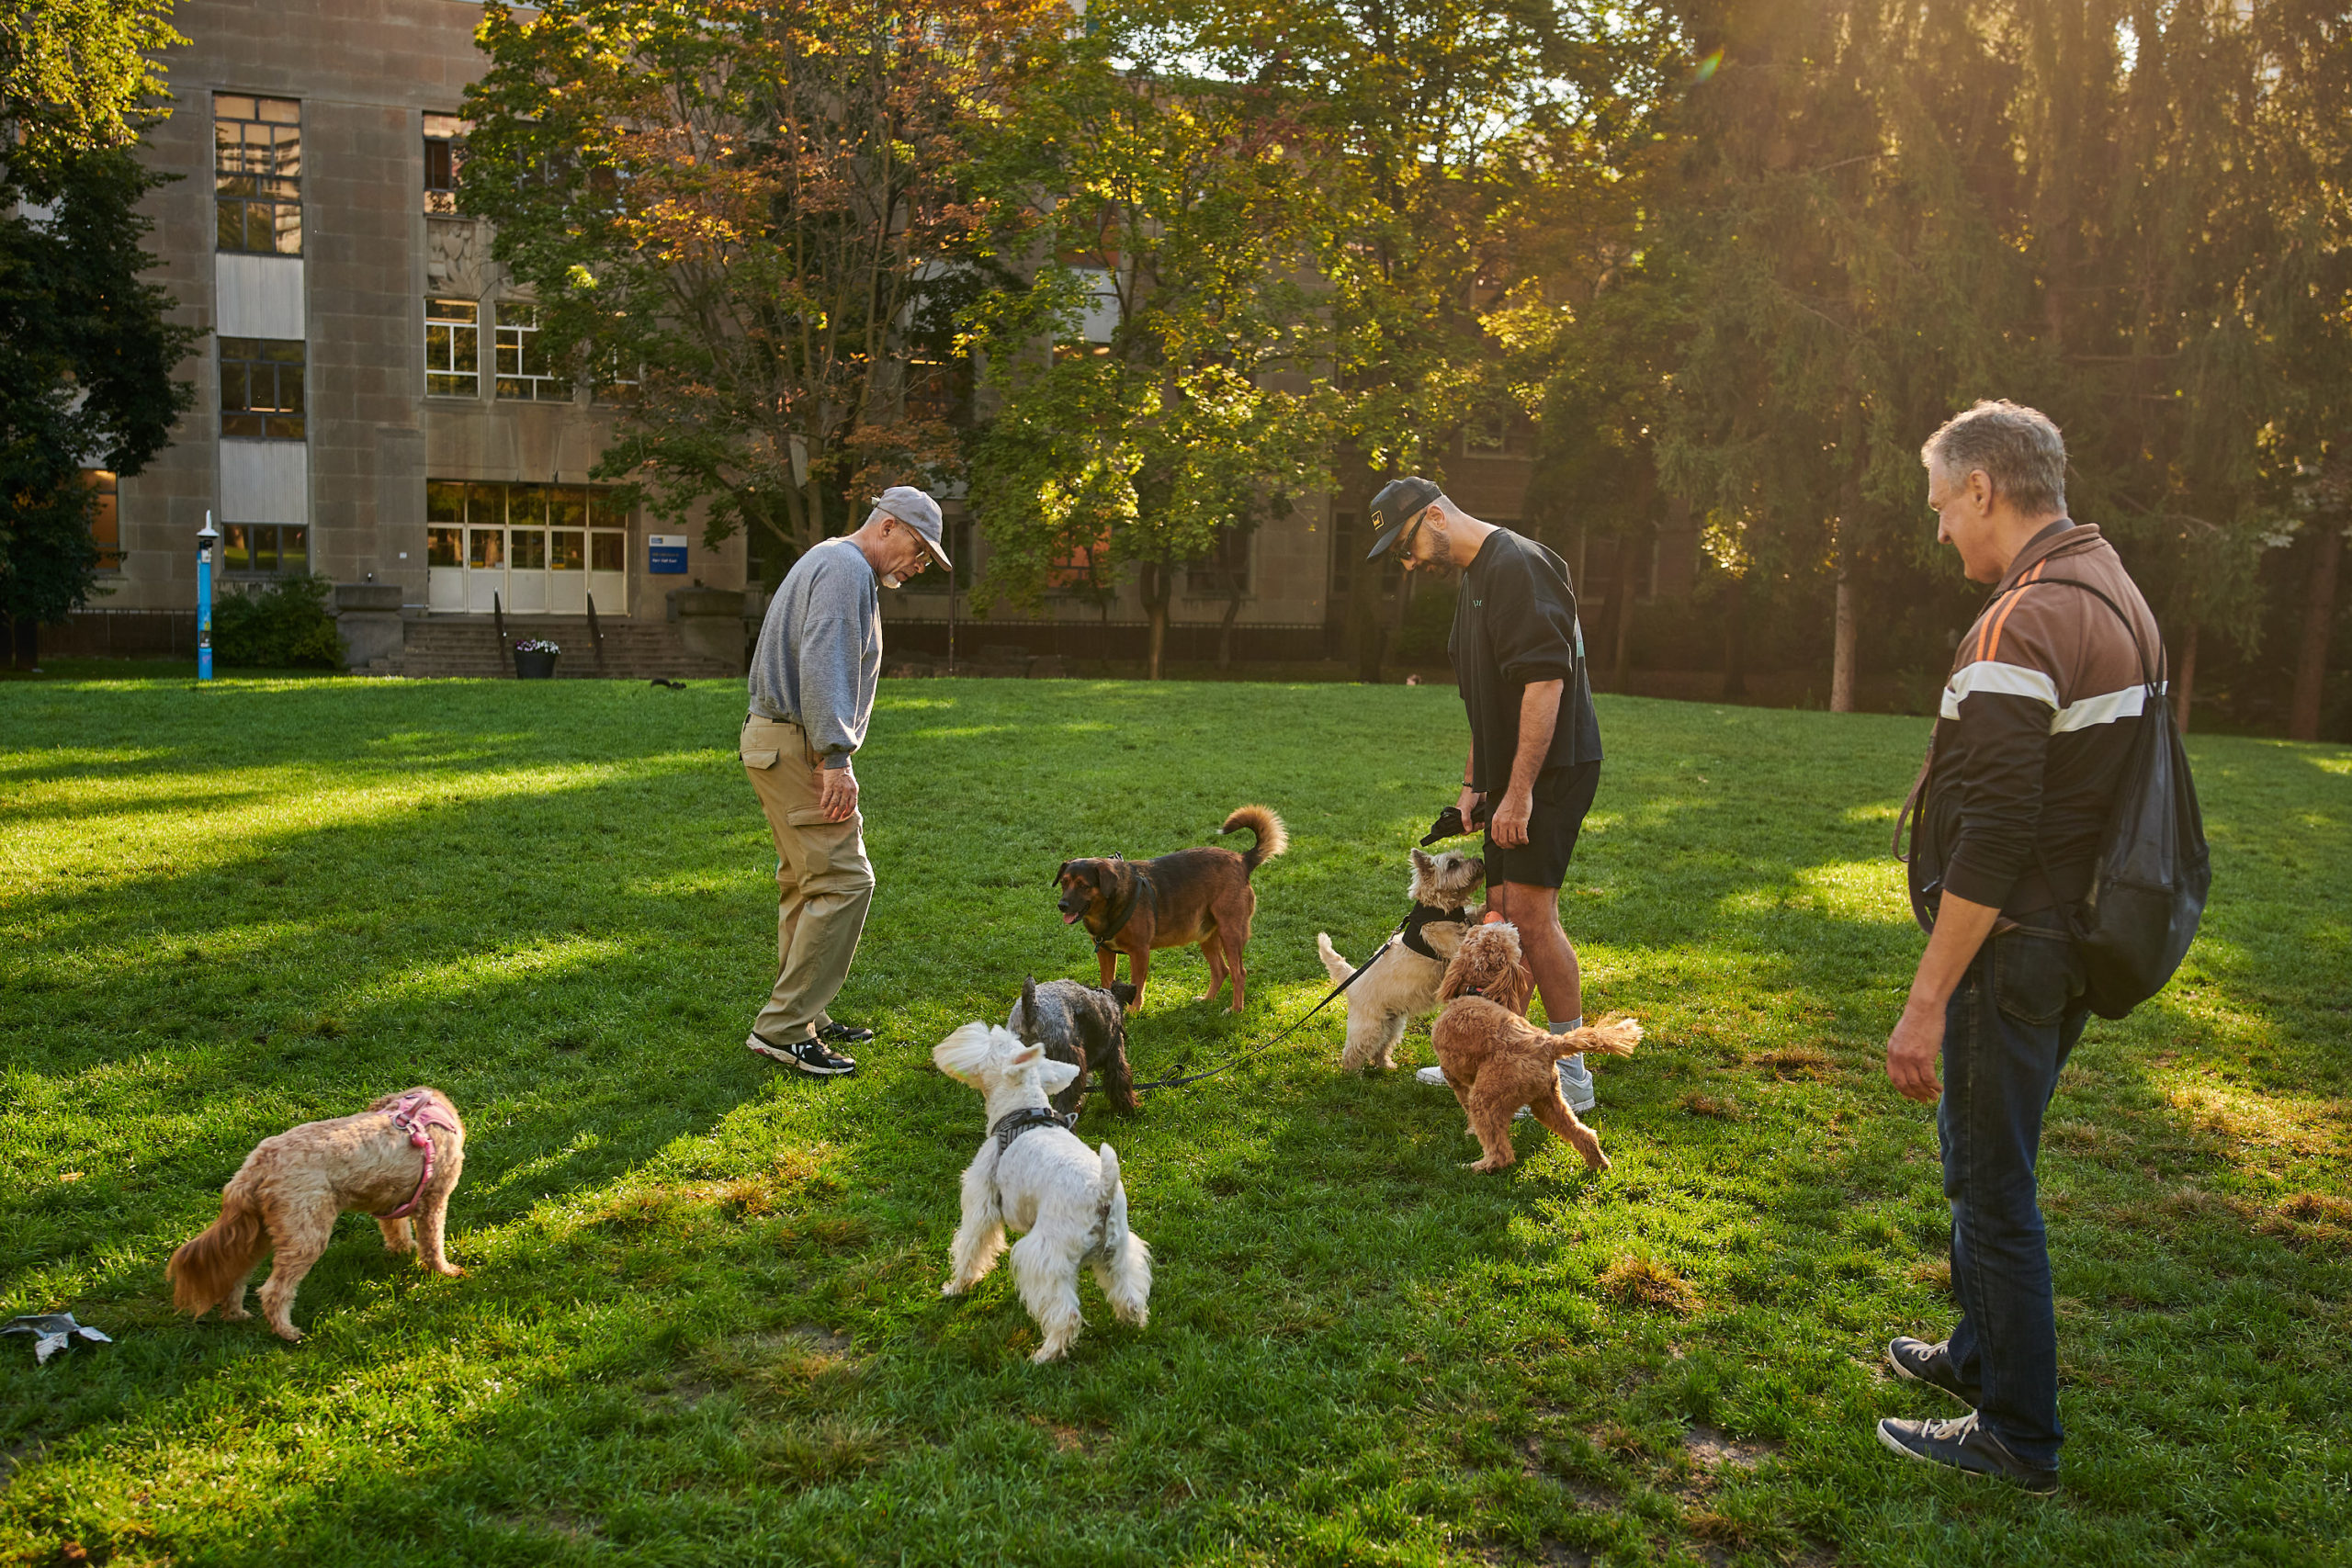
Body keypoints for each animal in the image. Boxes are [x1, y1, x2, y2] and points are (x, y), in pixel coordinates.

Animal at [935, 1020, 1157, 1363]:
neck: (1022, 1110)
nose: (974, 1029)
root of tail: (1102, 1192)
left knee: (1066, 1314)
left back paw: (1044, 1354)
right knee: (1130, 1294)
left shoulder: (980, 1206)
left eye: (994, 1040)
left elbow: (970, 1249)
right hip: (1118, 1251)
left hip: (1043, 1255)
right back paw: (1131, 1325)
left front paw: (956, 1287)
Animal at [1063, 804, 1288, 1010]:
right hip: (1206, 935)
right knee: (1220, 970)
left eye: (1083, 886)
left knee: (1238, 973)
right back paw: (1207, 1000)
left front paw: (1133, 1012)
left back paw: (1235, 1010)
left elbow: (1137, 986)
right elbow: (1107, 982)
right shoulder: (1105, 953)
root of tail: (1243, 860)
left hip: (1230, 933)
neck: (1108, 906)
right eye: (1064, 882)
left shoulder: (1140, 952)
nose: (1061, 905)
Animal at [1317, 851, 1476, 1072]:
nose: (1480, 860)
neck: (1439, 909)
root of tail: (1353, 976)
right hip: (1369, 1025)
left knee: (1382, 1046)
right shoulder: (1446, 939)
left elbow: (1473, 915)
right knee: (1355, 1050)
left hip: (1392, 1023)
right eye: (1453, 863)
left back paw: (1386, 1065)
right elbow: (1466, 935)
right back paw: (1352, 1075)